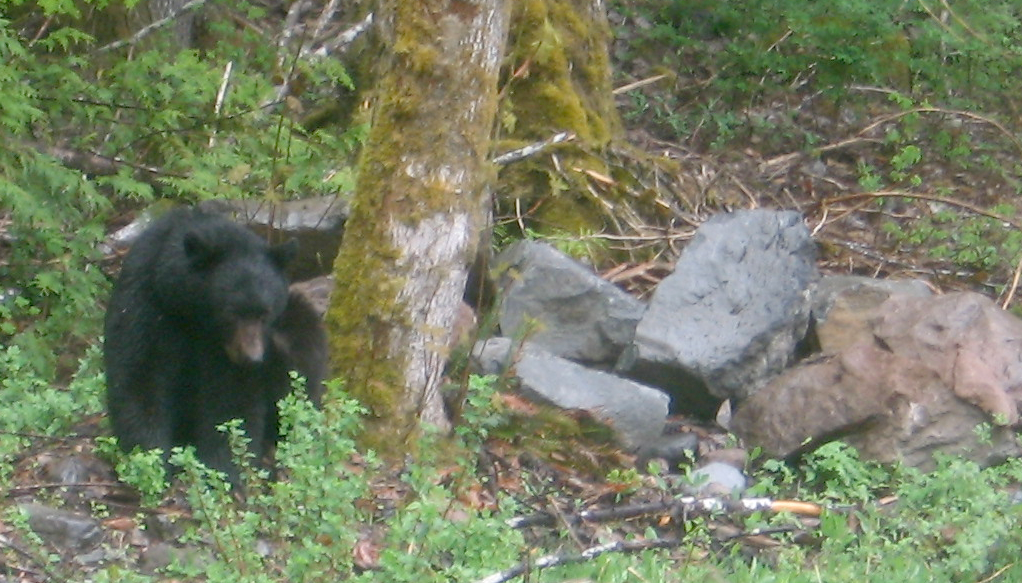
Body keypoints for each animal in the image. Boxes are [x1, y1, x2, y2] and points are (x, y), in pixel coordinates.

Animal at [103, 207, 327, 484]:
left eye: (264, 313)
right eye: (232, 312)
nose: (252, 358)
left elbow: (230, 399)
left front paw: (226, 467)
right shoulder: (146, 301)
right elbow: (139, 373)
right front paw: (150, 460)